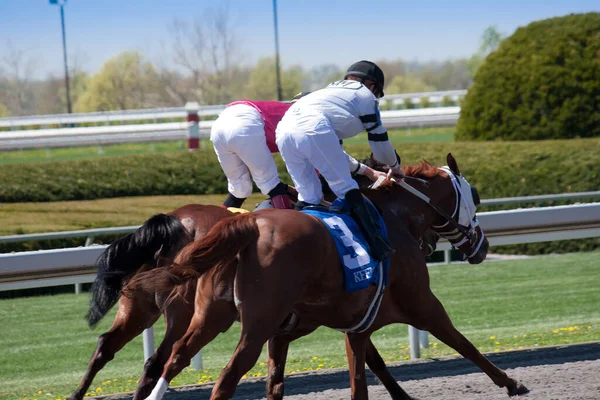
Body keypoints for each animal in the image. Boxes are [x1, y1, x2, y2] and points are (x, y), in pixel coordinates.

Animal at [127, 154, 528, 400]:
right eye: (475, 196)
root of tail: (248, 224)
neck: (394, 217)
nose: (482, 245)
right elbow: (463, 343)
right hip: (255, 323)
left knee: (173, 359)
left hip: (212, 315)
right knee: (225, 377)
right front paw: (512, 383)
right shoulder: (422, 305)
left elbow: (355, 375)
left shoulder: (349, 325)